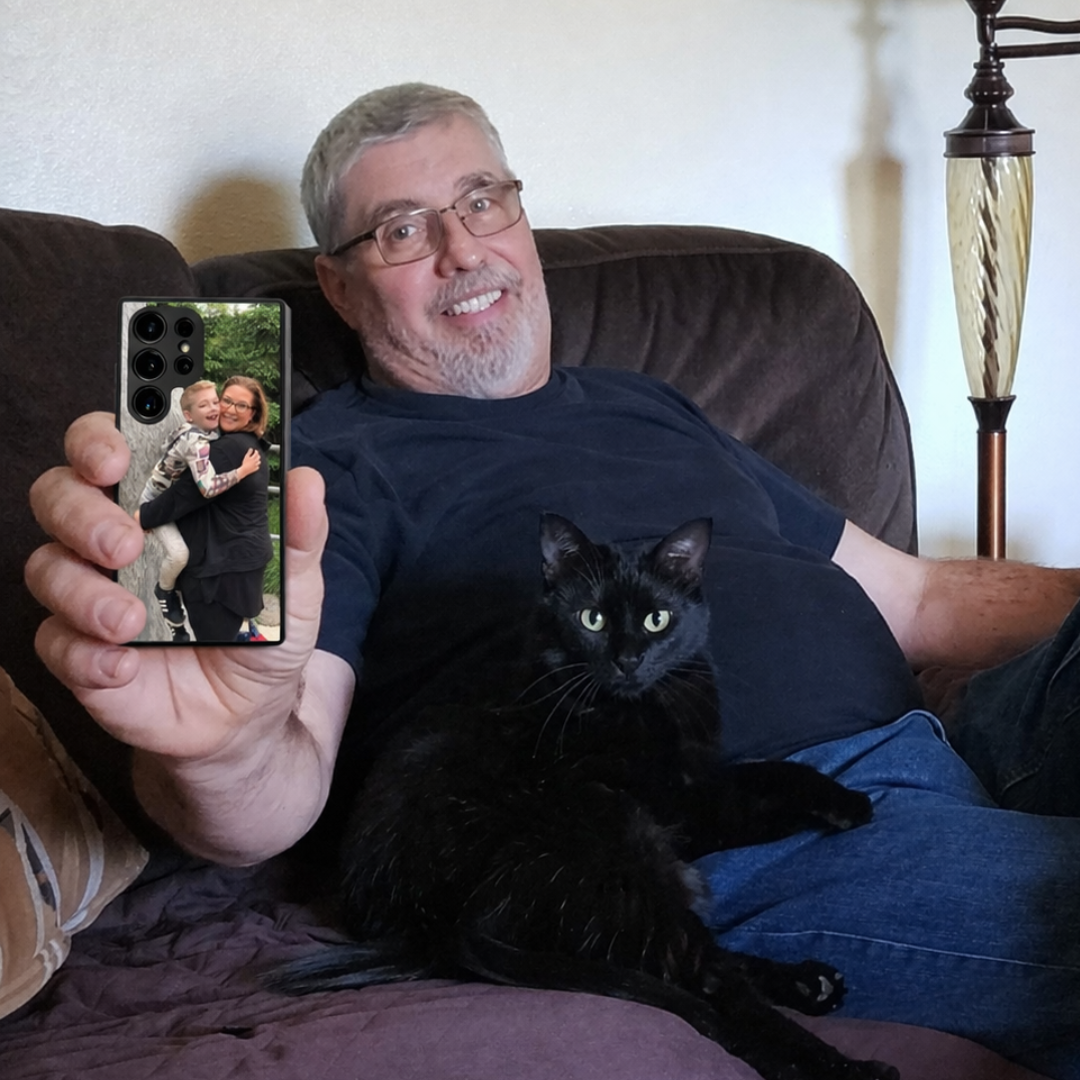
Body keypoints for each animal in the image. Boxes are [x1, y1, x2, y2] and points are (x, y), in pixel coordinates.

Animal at [270, 514, 899, 1080]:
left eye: (658, 619)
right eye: (591, 620)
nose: (628, 659)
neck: (647, 704)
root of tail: (431, 924)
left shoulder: (693, 792)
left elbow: (771, 771)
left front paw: (843, 802)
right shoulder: (682, 809)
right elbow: (757, 789)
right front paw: (845, 804)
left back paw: (808, 982)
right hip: (622, 852)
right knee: (712, 987)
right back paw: (846, 1066)